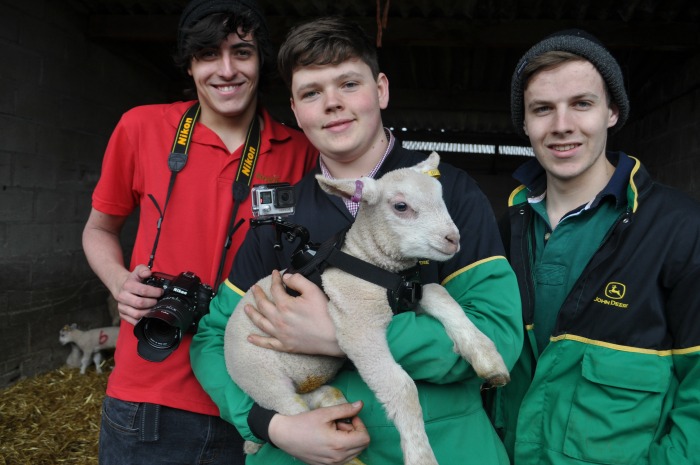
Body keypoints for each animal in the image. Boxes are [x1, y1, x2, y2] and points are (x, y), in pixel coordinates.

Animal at [224, 153, 508, 464]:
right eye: (401, 206)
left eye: (441, 197)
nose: (453, 239)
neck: (372, 262)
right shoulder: (358, 326)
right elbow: (402, 387)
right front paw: (420, 455)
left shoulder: (409, 297)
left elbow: (440, 294)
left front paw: (488, 359)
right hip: (259, 375)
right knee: (295, 415)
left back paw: (329, 400)